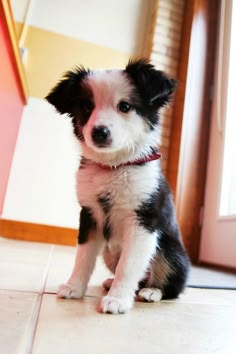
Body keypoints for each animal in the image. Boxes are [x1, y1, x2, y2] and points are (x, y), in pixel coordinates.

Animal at [46, 58, 190, 316]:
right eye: (87, 106)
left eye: (125, 106)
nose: (99, 132)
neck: (114, 166)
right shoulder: (89, 214)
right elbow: (83, 257)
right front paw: (74, 288)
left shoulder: (143, 221)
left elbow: (129, 265)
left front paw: (118, 300)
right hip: (109, 252)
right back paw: (113, 282)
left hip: (169, 250)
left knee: (172, 285)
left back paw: (152, 292)